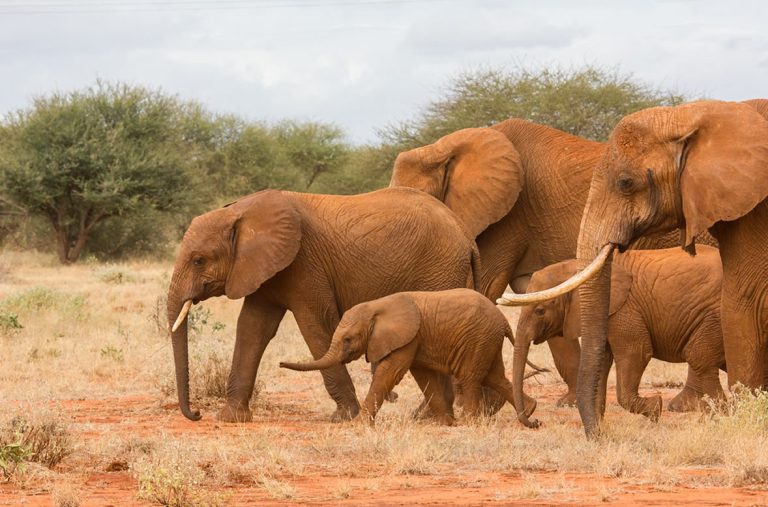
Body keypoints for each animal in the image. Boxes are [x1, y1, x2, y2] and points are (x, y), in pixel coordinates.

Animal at [170, 187, 480, 424]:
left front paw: (344, 417)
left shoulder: (304, 264)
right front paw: (231, 418)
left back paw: (429, 416)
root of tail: (466, 235)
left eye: (198, 260)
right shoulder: (261, 269)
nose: (196, 414)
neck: (241, 212)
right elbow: (252, 329)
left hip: (440, 271)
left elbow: (315, 326)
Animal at [280, 288, 536, 426]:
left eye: (348, 340)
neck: (376, 306)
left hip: (478, 338)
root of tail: (503, 320)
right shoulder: (415, 338)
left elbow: (391, 372)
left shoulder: (407, 337)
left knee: (471, 377)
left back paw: (470, 422)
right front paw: (445, 423)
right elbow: (423, 375)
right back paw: (531, 412)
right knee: (494, 376)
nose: (280, 363)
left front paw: (358, 424)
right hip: (487, 340)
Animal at [512, 245, 724, 424]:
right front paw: (598, 422)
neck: (579, 269)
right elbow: (602, 360)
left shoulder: (623, 310)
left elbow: (636, 353)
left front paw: (656, 408)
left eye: (539, 311)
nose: (536, 420)